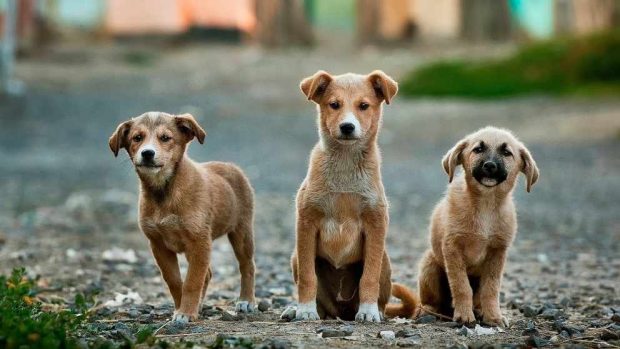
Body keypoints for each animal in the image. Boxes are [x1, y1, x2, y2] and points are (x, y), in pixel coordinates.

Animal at [109, 112, 256, 324]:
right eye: (137, 138)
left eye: (165, 138)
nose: (147, 153)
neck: (164, 192)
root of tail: (231, 166)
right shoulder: (159, 245)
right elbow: (175, 281)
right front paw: (183, 308)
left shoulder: (199, 242)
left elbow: (192, 281)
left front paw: (186, 312)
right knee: (208, 274)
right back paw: (200, 305)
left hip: (241, 232)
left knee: (247, 266)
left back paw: (246, 300)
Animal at [288, 70, 418, 320]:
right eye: (334, 104)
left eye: (364, 106)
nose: (347, 127)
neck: (345, 165)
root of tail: (342, 310)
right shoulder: (306, 222)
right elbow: (308, 278)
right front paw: (305, 310)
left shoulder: (376, 223)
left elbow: (369, 277)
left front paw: (368, 311)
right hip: (295, 257)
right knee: (321, 302)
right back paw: (296, 309)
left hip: (385, 260)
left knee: (380, 296)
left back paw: (375, 311)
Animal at [418, 125, 540, 326]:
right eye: (478, 149)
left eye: (506, 153)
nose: (489, 165)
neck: (486, 205)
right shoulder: (452, 248)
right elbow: (461, 286)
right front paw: (464, 315)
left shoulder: (497, 252)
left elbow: (491, 288)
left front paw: (493, 316)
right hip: (430, 265)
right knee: (430, 301)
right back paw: (429, 311)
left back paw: (480, 310)